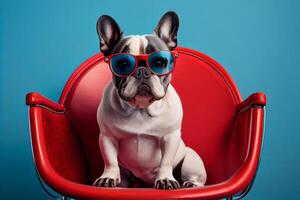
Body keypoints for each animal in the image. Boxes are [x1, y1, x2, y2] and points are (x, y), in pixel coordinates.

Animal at [93, 11, 206, 190]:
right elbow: (110, 160)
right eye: (122, 64)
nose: (141, 71)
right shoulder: (107, 137)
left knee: (196, 178)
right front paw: (108, 178)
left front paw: (165, 179)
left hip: (191, 159)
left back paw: (189, 184)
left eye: (159, 62)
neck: (141, 109)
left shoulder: (170, 137)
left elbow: (165, 161)